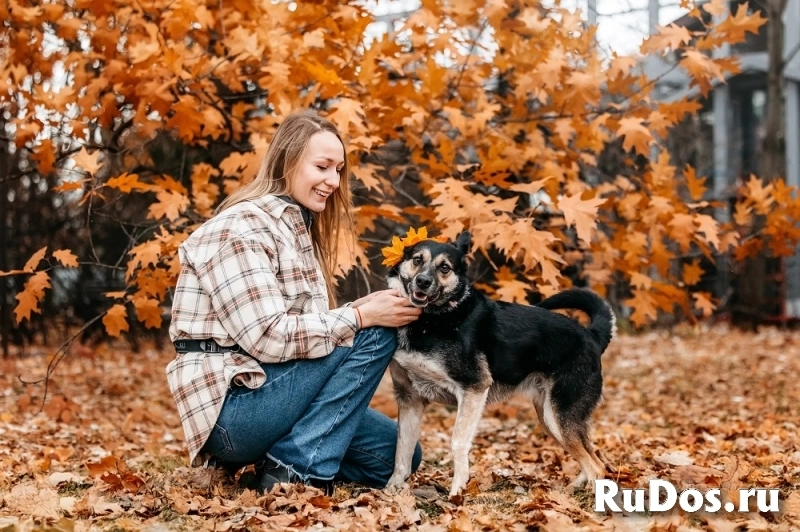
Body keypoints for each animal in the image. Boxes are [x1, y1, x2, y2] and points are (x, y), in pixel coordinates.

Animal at [384, 231, 616, 496]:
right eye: (417, 260)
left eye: (444, 267)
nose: (422, 281)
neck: (431, 319)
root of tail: (593, 336)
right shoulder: (410, 399)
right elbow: (402, 450)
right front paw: (392, 489)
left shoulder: (474, 388)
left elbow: (458, 441)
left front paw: (457, 492)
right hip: (550, 417)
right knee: (591, 456)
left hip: (559, 417)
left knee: (596, 467)